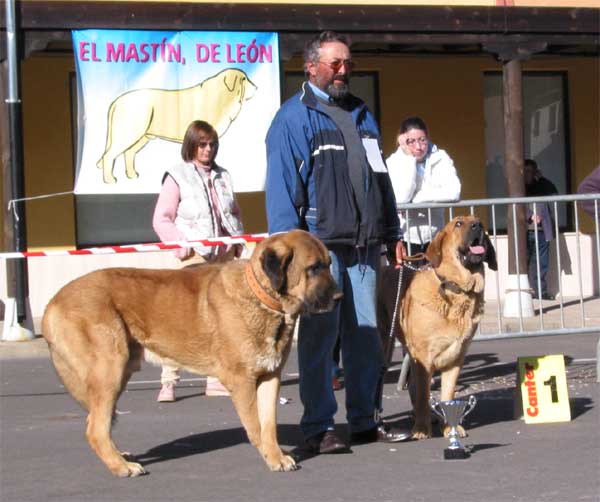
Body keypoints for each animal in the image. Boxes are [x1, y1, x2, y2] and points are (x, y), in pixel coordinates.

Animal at [41, 229, 342, 476]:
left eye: (329, 264)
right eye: (314, 268)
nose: (340, 298)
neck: (262, 297)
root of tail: (52, 303)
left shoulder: (270, 377)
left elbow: (268, 425)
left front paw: (277, 455)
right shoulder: (242, 381)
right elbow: (256, 426)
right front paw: (271, 458)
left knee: (97, 421)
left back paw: (120, 456)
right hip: (109, 371)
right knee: (95, 428)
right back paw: (121, 466)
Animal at [97, 67, 256, 183]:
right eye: (243, 79)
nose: (256, 88)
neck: (222, 97)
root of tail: (117, 101)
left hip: (143, 136)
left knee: (129, 153)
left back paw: (132, 175)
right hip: (129, 133)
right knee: (109, 155)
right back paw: (109, 179)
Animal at [380, 216, 496, 440]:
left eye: (477, 221)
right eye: (458, 224)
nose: (478, 226)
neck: (456, 290)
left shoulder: (455, 358)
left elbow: (447, 395)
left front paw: (451, 428)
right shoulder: (424, 358)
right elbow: (424, 394)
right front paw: (421, 429)